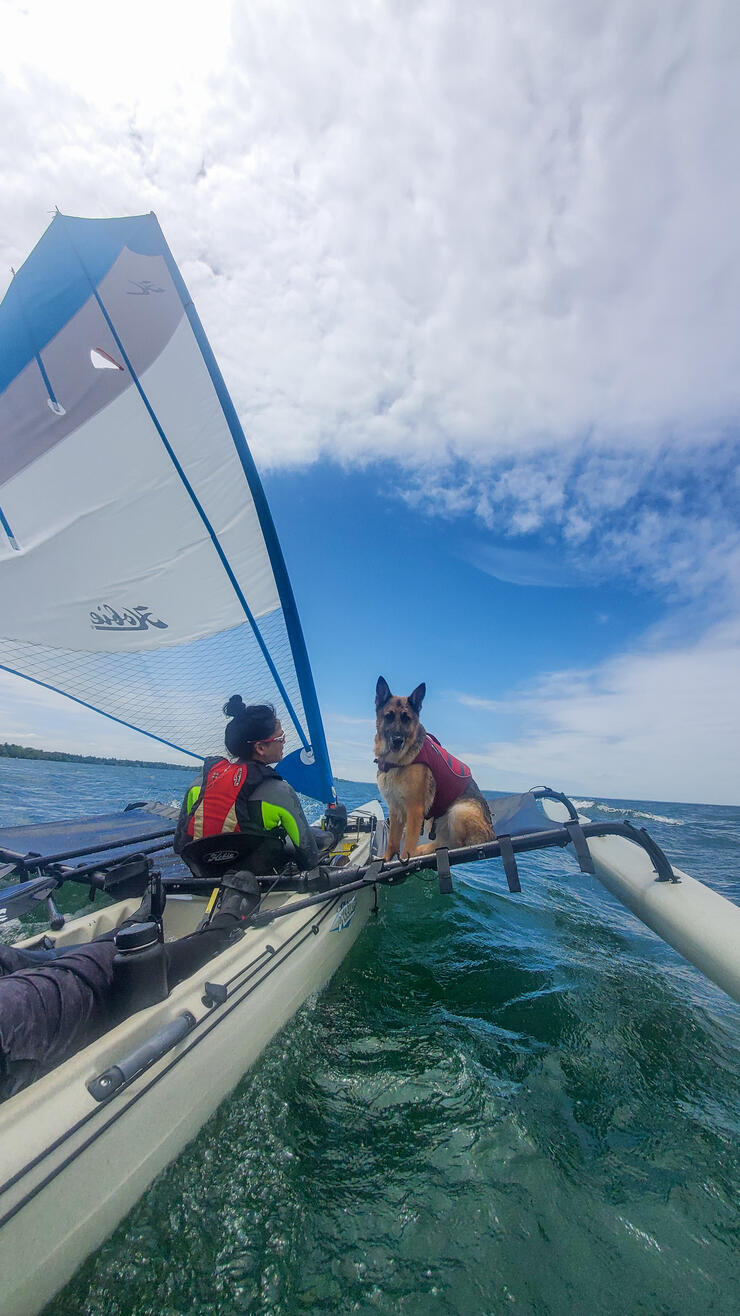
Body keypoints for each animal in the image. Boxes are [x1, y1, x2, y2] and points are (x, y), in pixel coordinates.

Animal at [371, 679, 492, 863]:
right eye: (389, 716)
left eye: (407, 719)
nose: (398, 741)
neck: (398, 761)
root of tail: (493, 836)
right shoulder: (395, 810)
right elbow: (393, 842)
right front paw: (385, 860)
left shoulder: (415, 811)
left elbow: (407, 847)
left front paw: (404, 861)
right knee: (444, 843)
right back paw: (423, 850)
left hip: (459, 811)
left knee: (457, 845)